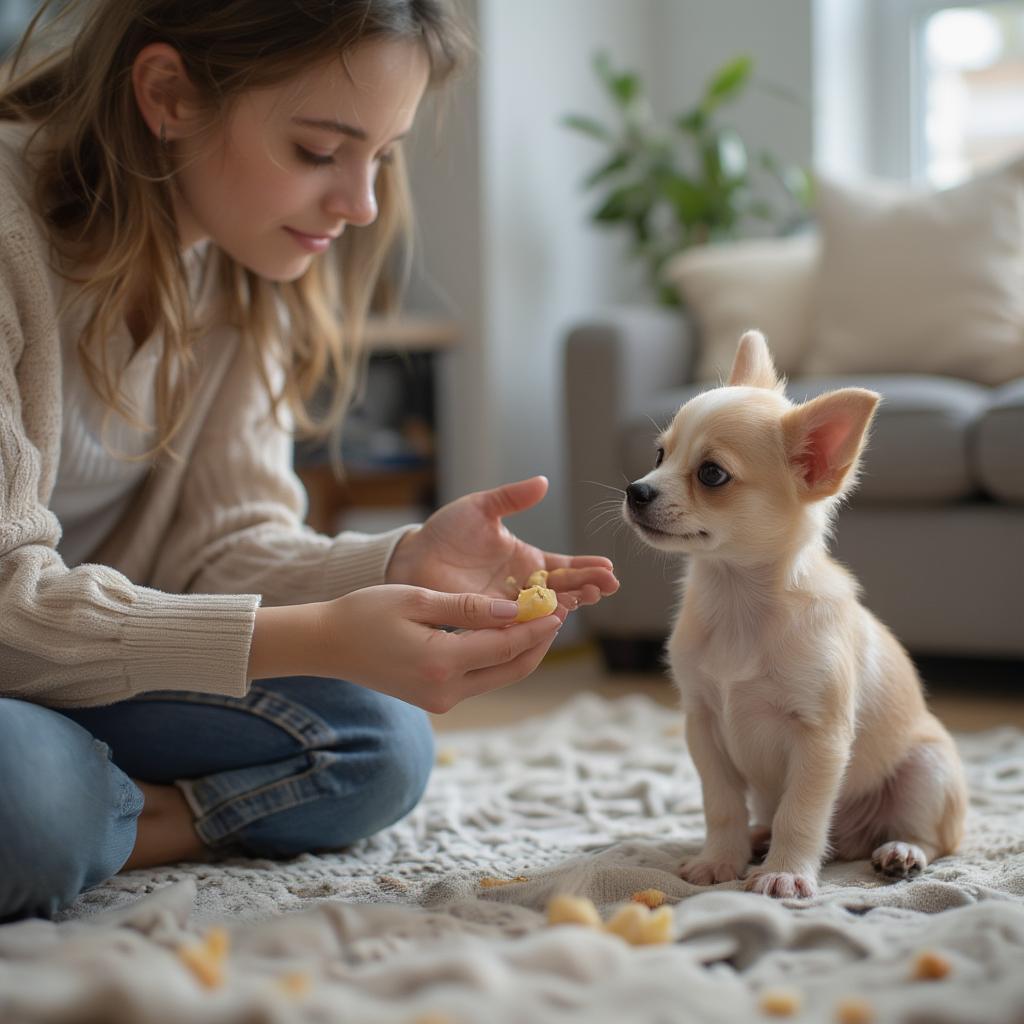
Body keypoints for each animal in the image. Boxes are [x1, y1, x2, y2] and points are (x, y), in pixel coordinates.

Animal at [622, 333, 966, 897]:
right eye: (659, 454)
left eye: (711, 474)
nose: (636, 490)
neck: (736, 600)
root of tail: (851, 842)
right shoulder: (704, 725)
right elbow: (721, 806)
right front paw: (720, 860)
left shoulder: (819, 738)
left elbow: (800, 812)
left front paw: (785, 873)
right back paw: (756, 840)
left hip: (926, 769)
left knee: (936, 838)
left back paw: (900, 852)